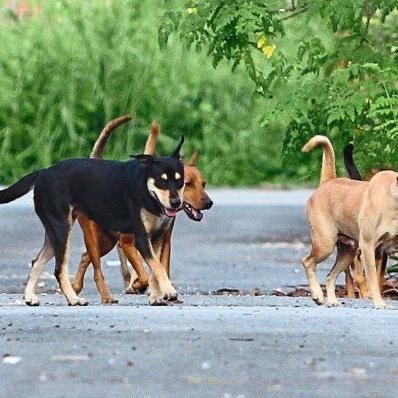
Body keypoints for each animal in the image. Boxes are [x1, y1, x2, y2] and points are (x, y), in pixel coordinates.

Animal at [0, 137, 185, 304]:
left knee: (37, 261)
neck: (146, 190)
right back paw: (74, 299)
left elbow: (155, 269)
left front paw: (155, 297)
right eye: (161, 181)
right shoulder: (141, 238)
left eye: (180, 181)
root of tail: (43, 172)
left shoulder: (157, 237)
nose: (176, 203)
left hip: (55, 234)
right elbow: (158, 267)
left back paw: (30, 297)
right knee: (59, 269)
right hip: (62, 231)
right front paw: (169, 291)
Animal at [72, 119, 213, 304]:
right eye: (188, 184)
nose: (209, 203)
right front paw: (139, 285)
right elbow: (144, 272)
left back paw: (76, 286)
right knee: (92, 258)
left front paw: (162, 291)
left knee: (85, 256)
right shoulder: (128, 243)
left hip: (108, 240)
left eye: (203, 184)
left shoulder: (164, 241)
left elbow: (160, 267)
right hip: (99, 237)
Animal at [302, 135, 398, 310]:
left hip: (348, 251)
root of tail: (327, 181)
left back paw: (332, 300)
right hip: (325, 243)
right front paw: (378, 302)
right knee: (308, 262)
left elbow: (378, 278)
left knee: (330, 275)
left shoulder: (380, 252)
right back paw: (318, 295)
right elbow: (373, 279)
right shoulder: (368, 247)